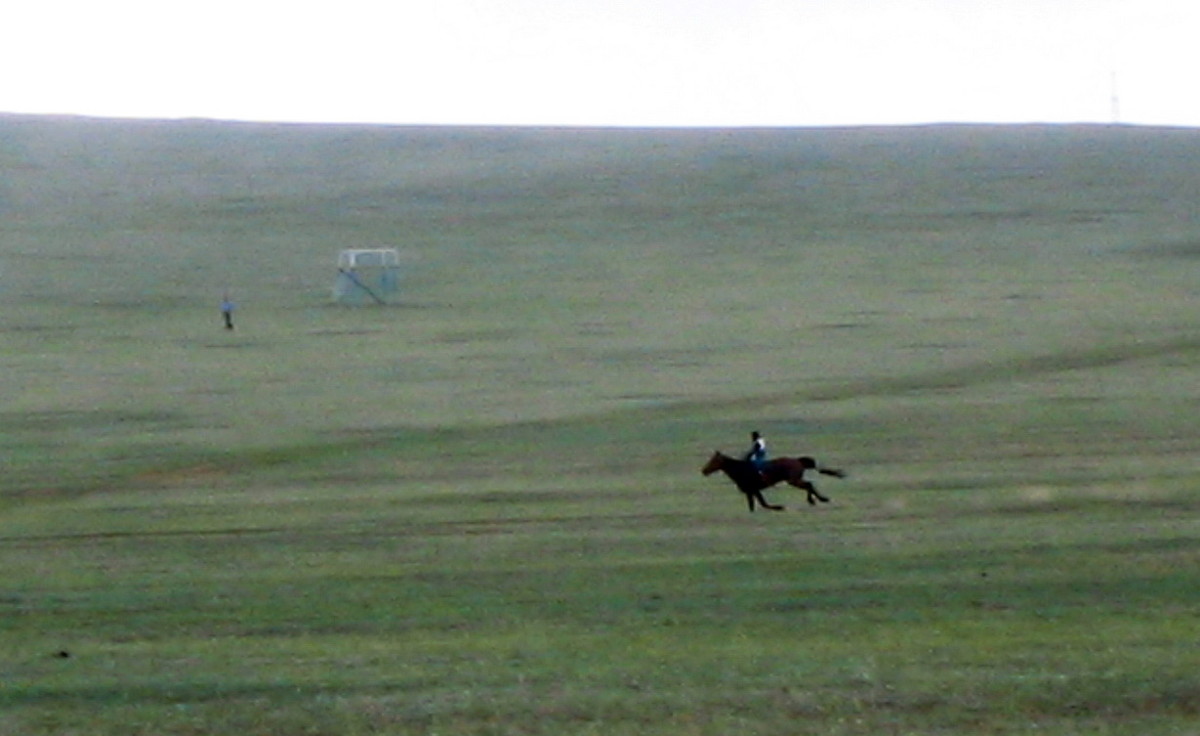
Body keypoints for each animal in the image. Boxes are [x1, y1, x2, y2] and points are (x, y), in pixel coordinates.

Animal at [700, 446, 844, 511]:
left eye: (713, 461)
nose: (704, 471)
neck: (741, 470)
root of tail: (797, 460)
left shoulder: (752, 490)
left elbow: (763, 504)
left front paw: (780, 507)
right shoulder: (752, 491)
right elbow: (758, 505)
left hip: (793, 480)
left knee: (808, 484)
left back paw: (817, 500)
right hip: (794, 480)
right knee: (809, 484)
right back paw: (817, 500)